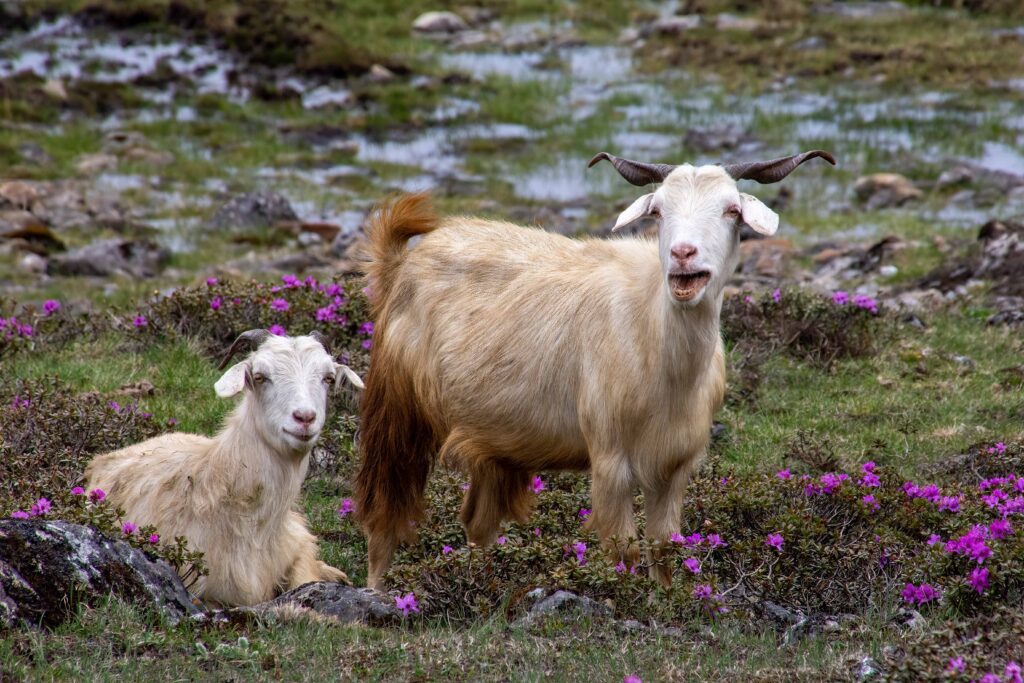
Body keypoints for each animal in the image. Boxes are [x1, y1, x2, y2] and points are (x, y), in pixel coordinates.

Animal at [356, 149, 835, 589]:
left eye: (732, 210)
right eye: (658, 210)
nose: (683, 254)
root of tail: (402, 263)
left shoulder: (675, 465)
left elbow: (665, 545)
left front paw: (666, 604)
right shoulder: (610, 457)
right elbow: (623, 548)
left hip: (494, 439)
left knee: (477, 520)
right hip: (396, 408)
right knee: (384, 510)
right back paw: (377, 591)